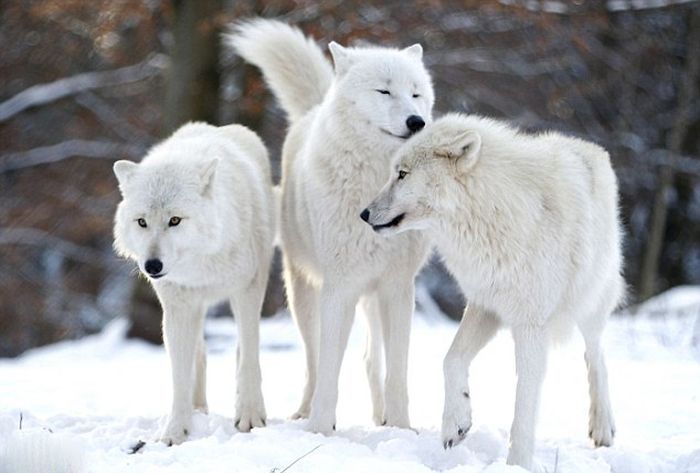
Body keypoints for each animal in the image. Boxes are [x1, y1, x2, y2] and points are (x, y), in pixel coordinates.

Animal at [112, 121, 274, 442]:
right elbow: (180, 376)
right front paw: (176, 431)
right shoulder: (177, 307)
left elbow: (249, 357)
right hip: (195, 309)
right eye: (142, 222)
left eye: (175, 220)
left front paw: (250, 416)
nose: (152, 266)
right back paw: (198, 410)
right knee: (200, 352)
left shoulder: (247, 290)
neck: (202, 264)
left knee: (240, 350)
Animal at [227, 19, 434, 432]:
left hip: (372, 298)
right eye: (384, 90)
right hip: (304, 294)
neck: (374, 185)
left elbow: (398, 372)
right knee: (313, 359)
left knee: (371, 359)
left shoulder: (398, 288)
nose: (416, 122)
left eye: (416, 94)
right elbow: (328, 368)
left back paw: (381, 418)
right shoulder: (340, 286)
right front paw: (320, 429)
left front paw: (402, 428)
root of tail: (314, 107)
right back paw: (304, 412)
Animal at [360, 113, 624, 468]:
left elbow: (524, 403)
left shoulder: (530, 325)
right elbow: (451, 359)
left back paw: (603, 426)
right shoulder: (485, 305)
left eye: (402, 174)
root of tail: (591, 148)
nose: (363, 214)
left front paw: (518, 463)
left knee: (596, 355)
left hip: (590, 302)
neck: (489, 211)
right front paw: (455, 423)